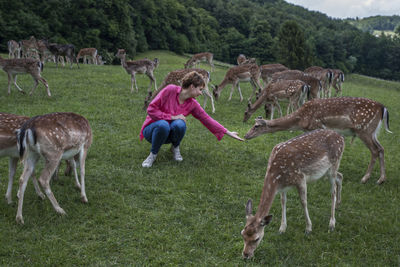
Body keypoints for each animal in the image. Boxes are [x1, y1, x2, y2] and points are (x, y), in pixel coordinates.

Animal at [241, 130, 344, 260]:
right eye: (242, 235)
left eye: (256, 238)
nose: (245, 255)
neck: (276, 176)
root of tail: (341, 136)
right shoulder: (282, 187)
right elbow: (283, 202)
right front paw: (282, 228)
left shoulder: (301, 179)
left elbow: (303, 202)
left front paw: (308, 228)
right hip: (327, 171)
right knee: (340, 176)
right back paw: (338, 204)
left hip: (334, 163)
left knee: (333, 190)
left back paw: (332, 223)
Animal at [245, 97, 392, 185]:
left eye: (256, 126)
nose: (246, 135)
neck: (300, 119)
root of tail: (383, 108)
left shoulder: (318, 126)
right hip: (372, 132)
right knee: (381, 148)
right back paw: (381, 179)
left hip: (364, 130)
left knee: (374, 150)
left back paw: (365, 178)